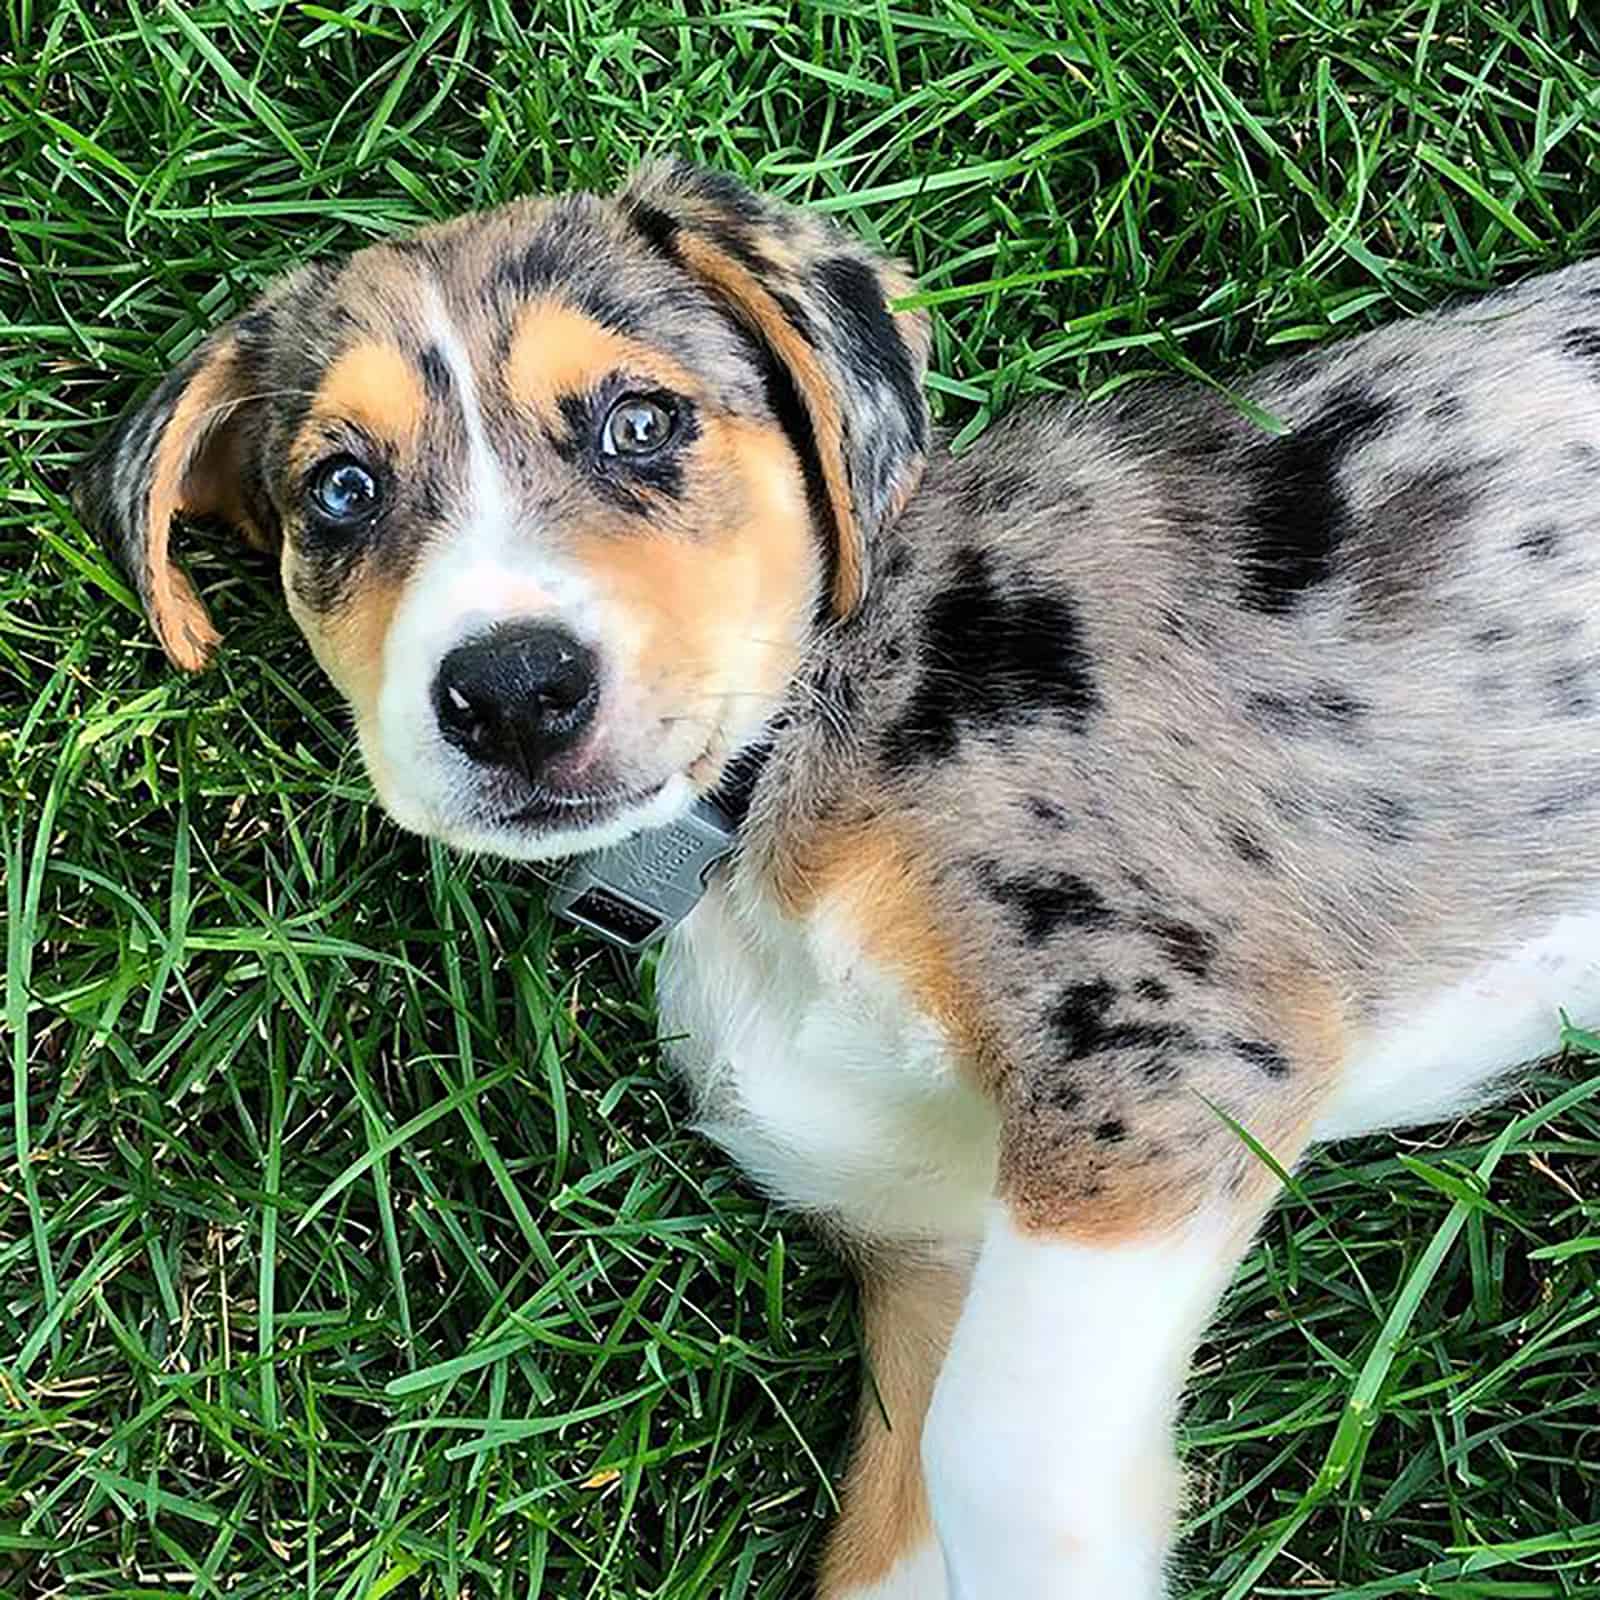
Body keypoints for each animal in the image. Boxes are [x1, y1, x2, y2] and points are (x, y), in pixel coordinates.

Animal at [78, 165, 1600, 1600]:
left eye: (643, 422)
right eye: (341, 492)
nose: (509, 691)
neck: (754, 819)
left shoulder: (1160, 1046)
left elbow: (1000, 1458)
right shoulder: (939, 1247)